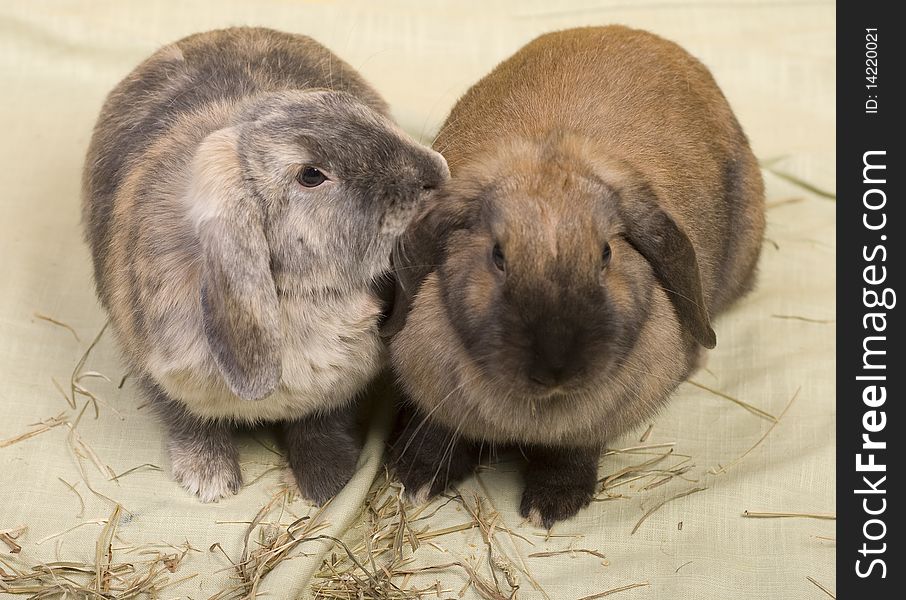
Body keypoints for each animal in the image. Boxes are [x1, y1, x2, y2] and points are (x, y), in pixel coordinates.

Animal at [384, 25, 764, 528]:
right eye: (497, 255)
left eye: (606, 253)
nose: (555, 368)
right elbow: (438, 431)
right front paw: (415, 476)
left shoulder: (587, 430)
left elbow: (572, 454)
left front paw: (550, 506)